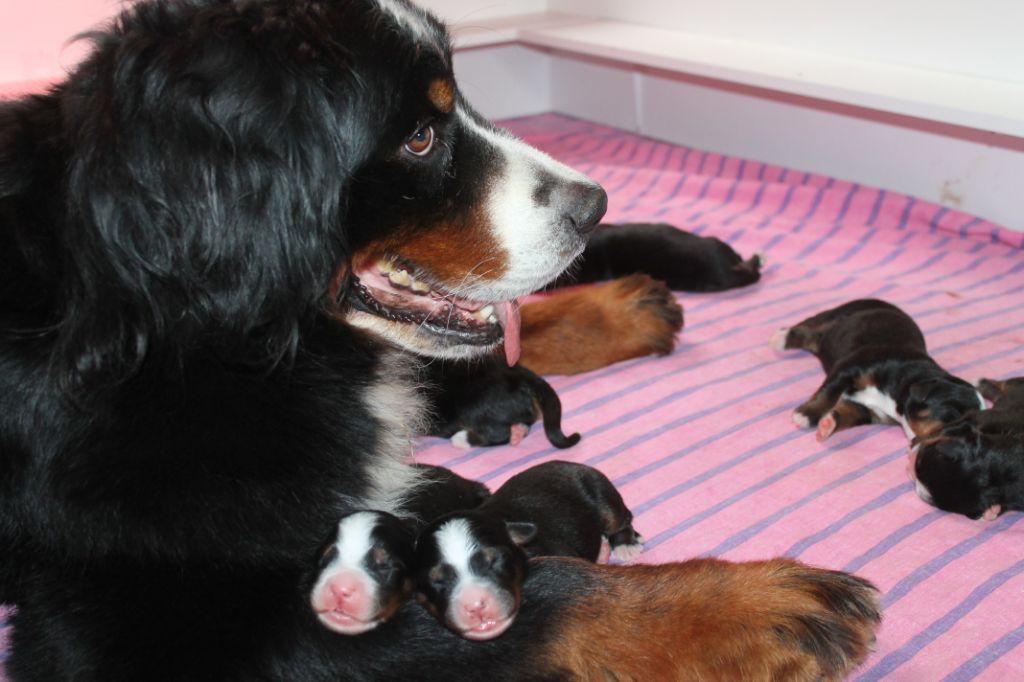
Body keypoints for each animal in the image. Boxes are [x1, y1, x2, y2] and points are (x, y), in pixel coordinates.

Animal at [774, 296, 983, 440]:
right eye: (954, 417)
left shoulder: (870, 412)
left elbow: (847, 414)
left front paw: (828, 424)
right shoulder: (852, 367)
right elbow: (828, 393)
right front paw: (806, 415)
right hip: (841, 312)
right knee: (808, 326)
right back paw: (781, 338)